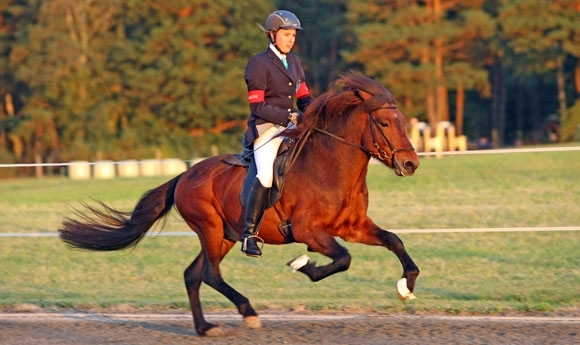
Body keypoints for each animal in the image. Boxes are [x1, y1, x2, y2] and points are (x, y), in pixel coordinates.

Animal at [59, 70, 420, 336]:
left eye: (404, 122)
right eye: (384, 123)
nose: (410, 164)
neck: (331, 167)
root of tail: (185, 175)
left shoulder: (352, 226)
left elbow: (393, 241)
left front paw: (405, 286)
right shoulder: (309, 231)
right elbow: (342, 258)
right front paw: (302, 265)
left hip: (225, 235)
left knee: (194, 274)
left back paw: (205, 328)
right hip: (210, 228)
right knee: (210, 273)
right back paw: (247, 311)